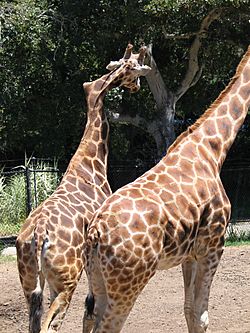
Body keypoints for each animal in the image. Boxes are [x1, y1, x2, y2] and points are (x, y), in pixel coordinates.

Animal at [15, 44, 151, 332]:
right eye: (133, 69)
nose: (136, 87)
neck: (92, 162)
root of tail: (38, 236)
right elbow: (91, 307)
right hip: (65, 279)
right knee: (50, 324)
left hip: (31, 281)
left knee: (35, 323)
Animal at [82, 45, 250, 330]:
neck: (213, 149)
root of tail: (96, 234)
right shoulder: (213, 245)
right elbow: (202, 315)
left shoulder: (190, 255)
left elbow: (189, 310)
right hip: (128, 284)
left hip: (96, 278)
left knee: (89, 317)